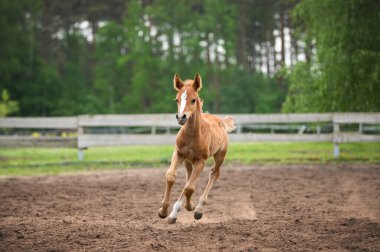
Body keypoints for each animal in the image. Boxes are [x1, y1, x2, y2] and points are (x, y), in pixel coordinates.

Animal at [157, 73, 235, 224]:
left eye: (193, 100)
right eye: (176, 99)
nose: (181, 117)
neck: (192, 135)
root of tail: (220, 121)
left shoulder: (201, 160)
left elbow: (189, 187)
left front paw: (190, 207)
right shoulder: (178, 153)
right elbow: (171, 176)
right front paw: (163, 211)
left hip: (219, 156)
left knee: (214, 173)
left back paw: (198, 209)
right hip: (188, 160)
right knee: (190, 175)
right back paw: (175, 212)